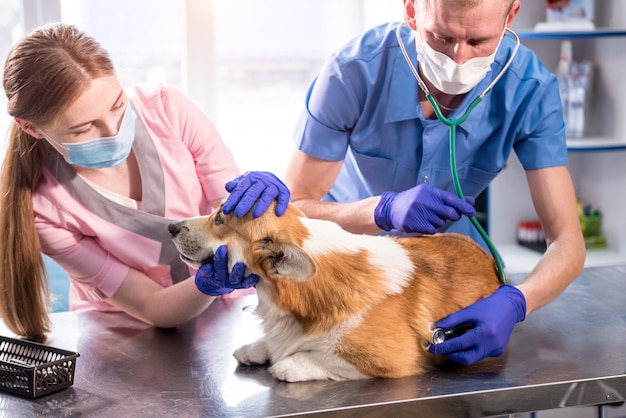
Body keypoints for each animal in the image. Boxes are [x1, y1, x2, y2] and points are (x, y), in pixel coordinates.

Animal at [168, 202, 500, 382]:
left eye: (219, 219)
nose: (171, 226)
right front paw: (259, 347)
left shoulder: (396, 359)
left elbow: (322, 356)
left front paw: (290, 363)